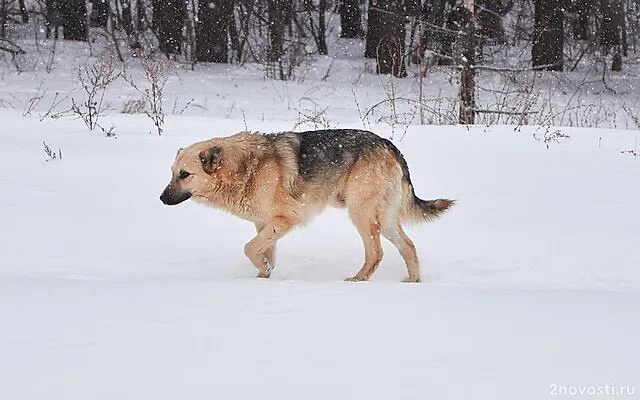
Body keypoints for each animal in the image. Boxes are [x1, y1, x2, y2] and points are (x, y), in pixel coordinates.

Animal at [160, 128, 456, 282]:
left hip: (361, 215)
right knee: (409, 246)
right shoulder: (264, 224)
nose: (161, 198)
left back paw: (357, 281)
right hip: (384, 220)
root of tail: (390, 145)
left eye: (184, 174)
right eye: (172, 173)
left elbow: (249, 248)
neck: (244, 168)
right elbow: (263, 253)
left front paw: (263, 273)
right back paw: (412, 283)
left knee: (376, 253)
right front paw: (263, 277)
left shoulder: (285, 220)